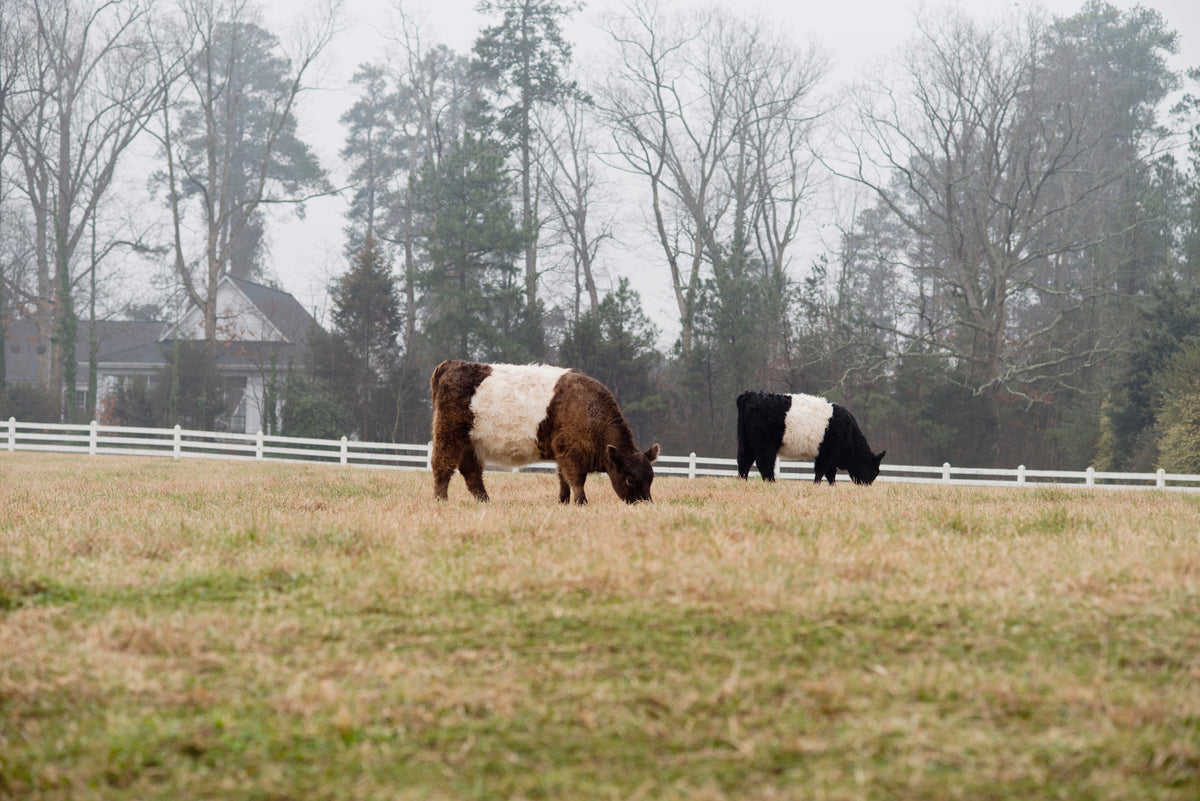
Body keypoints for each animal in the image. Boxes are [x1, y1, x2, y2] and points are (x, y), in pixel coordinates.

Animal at [430, 360, 660, 504]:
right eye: (630, 480)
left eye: (651, 477)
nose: (645, 503)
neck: (589, 409)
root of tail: (451, 363)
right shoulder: (571, 453)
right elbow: (577, 479)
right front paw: (581, 502)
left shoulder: (561, 453)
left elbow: (563, 479)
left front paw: (563, 501)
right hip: (449, 435)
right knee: (442, 465)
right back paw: (441, 500)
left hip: (470, 444)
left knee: (471, 473)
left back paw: (485, 501)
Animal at [736, 390, 885, 485]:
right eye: (874, 471)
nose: (867, 485)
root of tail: (749, 394)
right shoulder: (827, 453)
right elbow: (821, 471)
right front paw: (816, 485)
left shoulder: (830, 456)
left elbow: (830, 474)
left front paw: (833, 486)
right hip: (766, 445)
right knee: (764, 463)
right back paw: (772, 483)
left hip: (747, 443)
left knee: (744, 461)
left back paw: (743, 482)